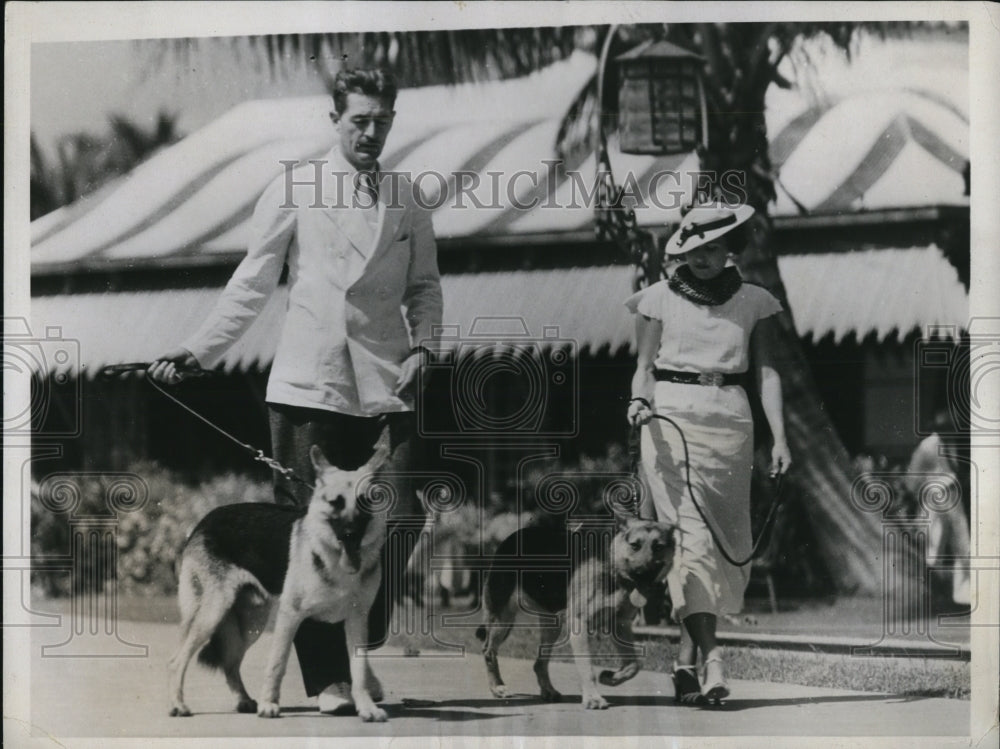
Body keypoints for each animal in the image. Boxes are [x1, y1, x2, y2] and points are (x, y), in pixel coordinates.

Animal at [170, 438, 388, 720]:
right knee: (178, 660)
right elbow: (277, 663)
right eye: (335, 503)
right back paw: (179, 704)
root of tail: (205, 520)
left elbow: (359, 671)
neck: (329, 556)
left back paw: (243, 700)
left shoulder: (357, 620)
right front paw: (269, 704)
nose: (350, 534)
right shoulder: (290, 616)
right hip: (212, 613)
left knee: (230, 664)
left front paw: (367, 707)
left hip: (252, 623)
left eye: (363, 502)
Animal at [474, 516, 676, 712]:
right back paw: (497, 687)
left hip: (551, 627)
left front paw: (611, 677)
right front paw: (593, 698)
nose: (643, 573)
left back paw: (548, 690)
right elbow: (587, 669)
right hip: (502, 620)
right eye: (635, 545)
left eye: (658, 547)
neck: (613, 568)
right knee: (488, 651)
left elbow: (634, 665)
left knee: (539, 664)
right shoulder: (580, 625)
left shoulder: (621, 624)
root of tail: (514, 536)